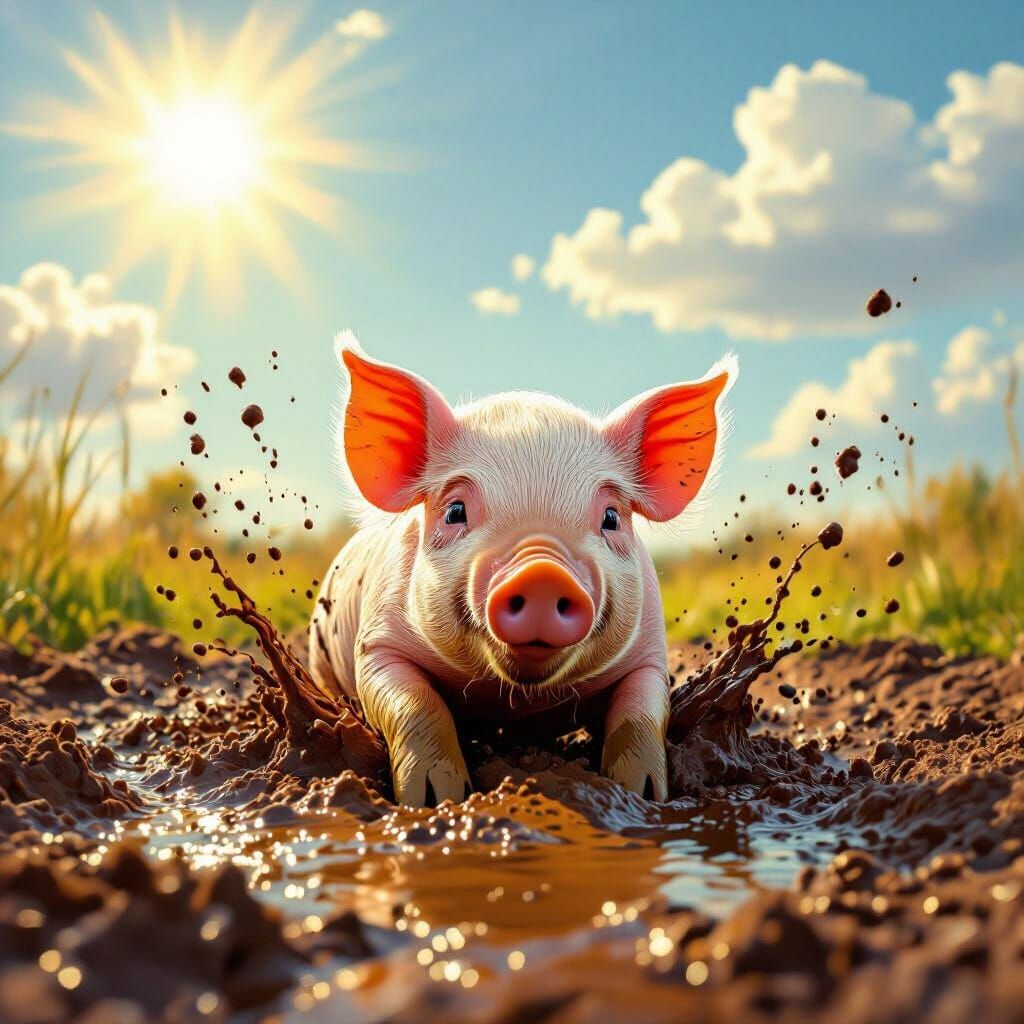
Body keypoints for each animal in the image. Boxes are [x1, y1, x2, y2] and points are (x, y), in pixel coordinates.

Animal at [310, 335, 736, 807]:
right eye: (455, 511)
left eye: (611, 518)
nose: (542, 573)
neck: (516, 703)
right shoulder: (377, 643)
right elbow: (414, 703)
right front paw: (436, 800)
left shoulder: (649, 653)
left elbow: (639, 714)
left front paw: (642, 795)